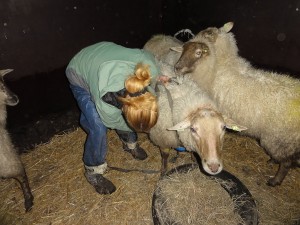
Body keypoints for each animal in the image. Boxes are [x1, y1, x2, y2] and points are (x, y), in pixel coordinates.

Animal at [171, 21, 300, 186]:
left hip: (278, 140)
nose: (177, 67)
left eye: (198, 52)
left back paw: (275, 180)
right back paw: (272, 161)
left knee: (286, 163)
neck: (221, 65)